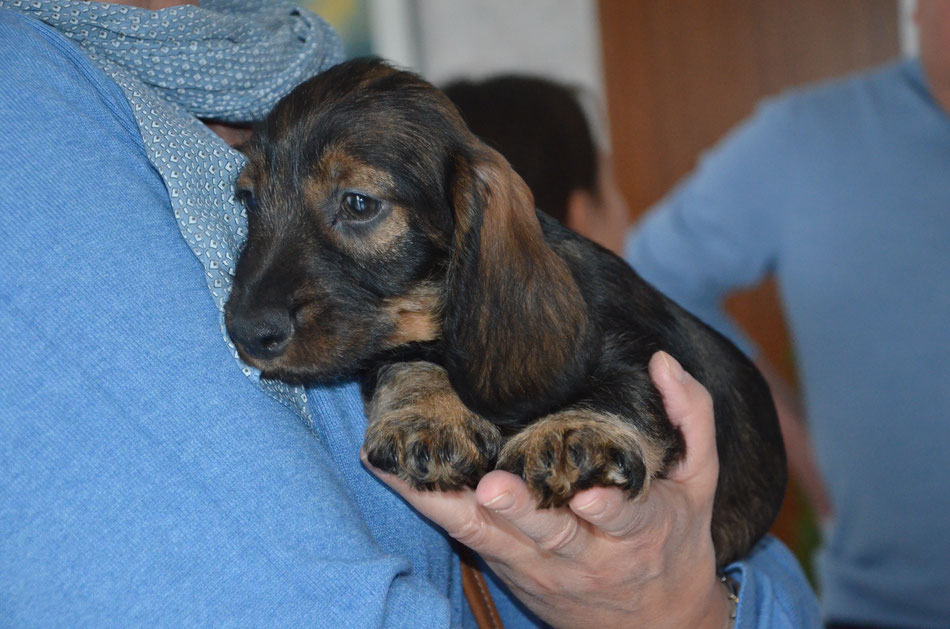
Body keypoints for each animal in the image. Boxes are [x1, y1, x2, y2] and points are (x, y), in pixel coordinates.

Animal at [225, 60, 788, 568]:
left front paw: (574, 431)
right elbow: (408, 359)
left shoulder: (644, 349)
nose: (247, 332)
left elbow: (628, 387)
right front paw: (431, 412)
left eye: (359, 203)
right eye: (248, 200)